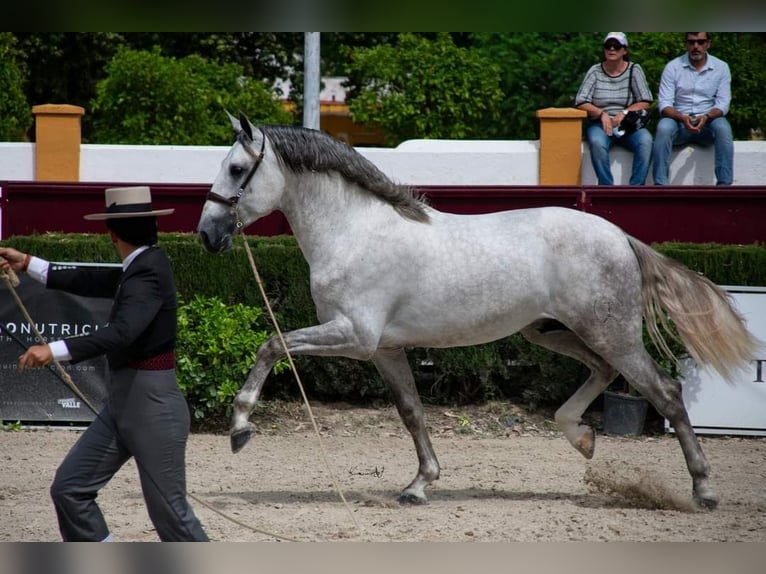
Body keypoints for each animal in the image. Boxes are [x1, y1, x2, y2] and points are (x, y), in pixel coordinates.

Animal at [200, 115, 760, 510]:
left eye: (236, 169)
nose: (207, 235)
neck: (354, 231)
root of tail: (620, 236)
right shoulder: (384, 350)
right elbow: (411, 412)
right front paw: (419, 486)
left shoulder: (354, 336)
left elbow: (271, 344)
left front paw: (240, 428)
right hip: (550, 332)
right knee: (602, 374)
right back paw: (581, 437)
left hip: (612, 333)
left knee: (665, 392)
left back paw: (703, 491)